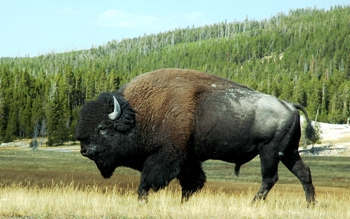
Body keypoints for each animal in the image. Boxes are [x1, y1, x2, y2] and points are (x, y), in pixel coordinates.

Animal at [75, 68, 318, 205]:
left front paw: (142, 201)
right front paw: (183, 203)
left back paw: (253, 203)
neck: (140, 114)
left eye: (102, 128)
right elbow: (192, 182)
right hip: (289, 152)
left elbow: (148, 179)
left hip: (269, 152)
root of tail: (290, 104)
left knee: (270, 178)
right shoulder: (188, 159)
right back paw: (310, 204)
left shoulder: (165, 156)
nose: (84, 150)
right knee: (303, 172)